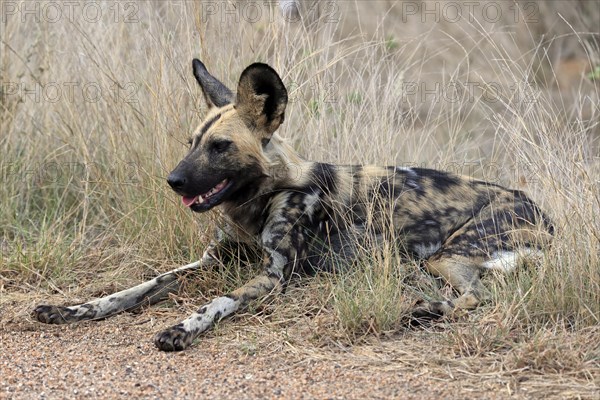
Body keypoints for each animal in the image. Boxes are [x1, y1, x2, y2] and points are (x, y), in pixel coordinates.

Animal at [34, 58, 552, 350]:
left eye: (220, 147)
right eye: (191, 142)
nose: (173, 181)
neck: (253, 205)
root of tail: (547, 218)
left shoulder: (275, 275)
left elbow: (218, 301)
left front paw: (181, 328)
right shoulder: (211, 261)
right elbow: (133, 289)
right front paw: (73, 309)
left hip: (445, 255)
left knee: (479, 297)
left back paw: (424, 312)